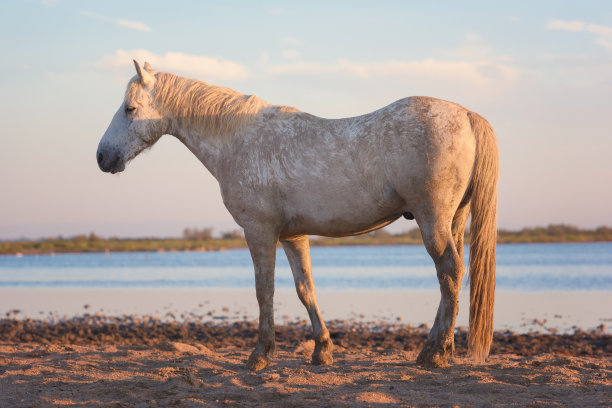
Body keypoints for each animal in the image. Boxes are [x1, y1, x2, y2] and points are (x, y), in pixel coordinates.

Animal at [97, 60, 498, 370]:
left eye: (130, 108)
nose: (102, 157)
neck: (239, 139)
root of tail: (466, 115)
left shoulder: (259, 231)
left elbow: (264, 289)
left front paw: (260, 355)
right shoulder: (293, 236)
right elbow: (306, 289)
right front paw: (322, 352)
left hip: (433, 221)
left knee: (449, 272)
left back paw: (434, 353)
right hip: (453, 221)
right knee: (452, 278)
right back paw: (440, 349)